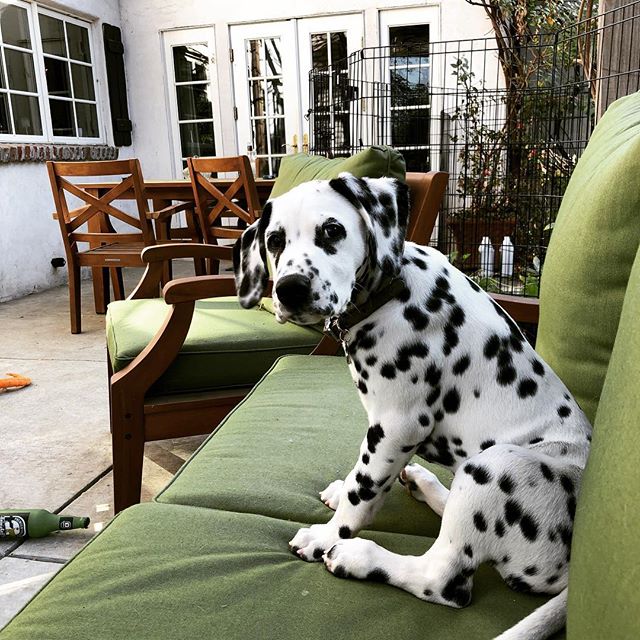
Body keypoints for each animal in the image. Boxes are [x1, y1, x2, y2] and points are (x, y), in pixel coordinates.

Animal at [232, 172, 592, 636]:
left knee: (442, 578)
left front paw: (329, 535)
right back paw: (425, 485)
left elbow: (362, 493)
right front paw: (343, 490)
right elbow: (362, 475)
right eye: (275, 240)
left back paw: (359, 557)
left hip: (496, 467)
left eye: (331, 230)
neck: (393, 289)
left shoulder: (397, 425)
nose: (290, 289)